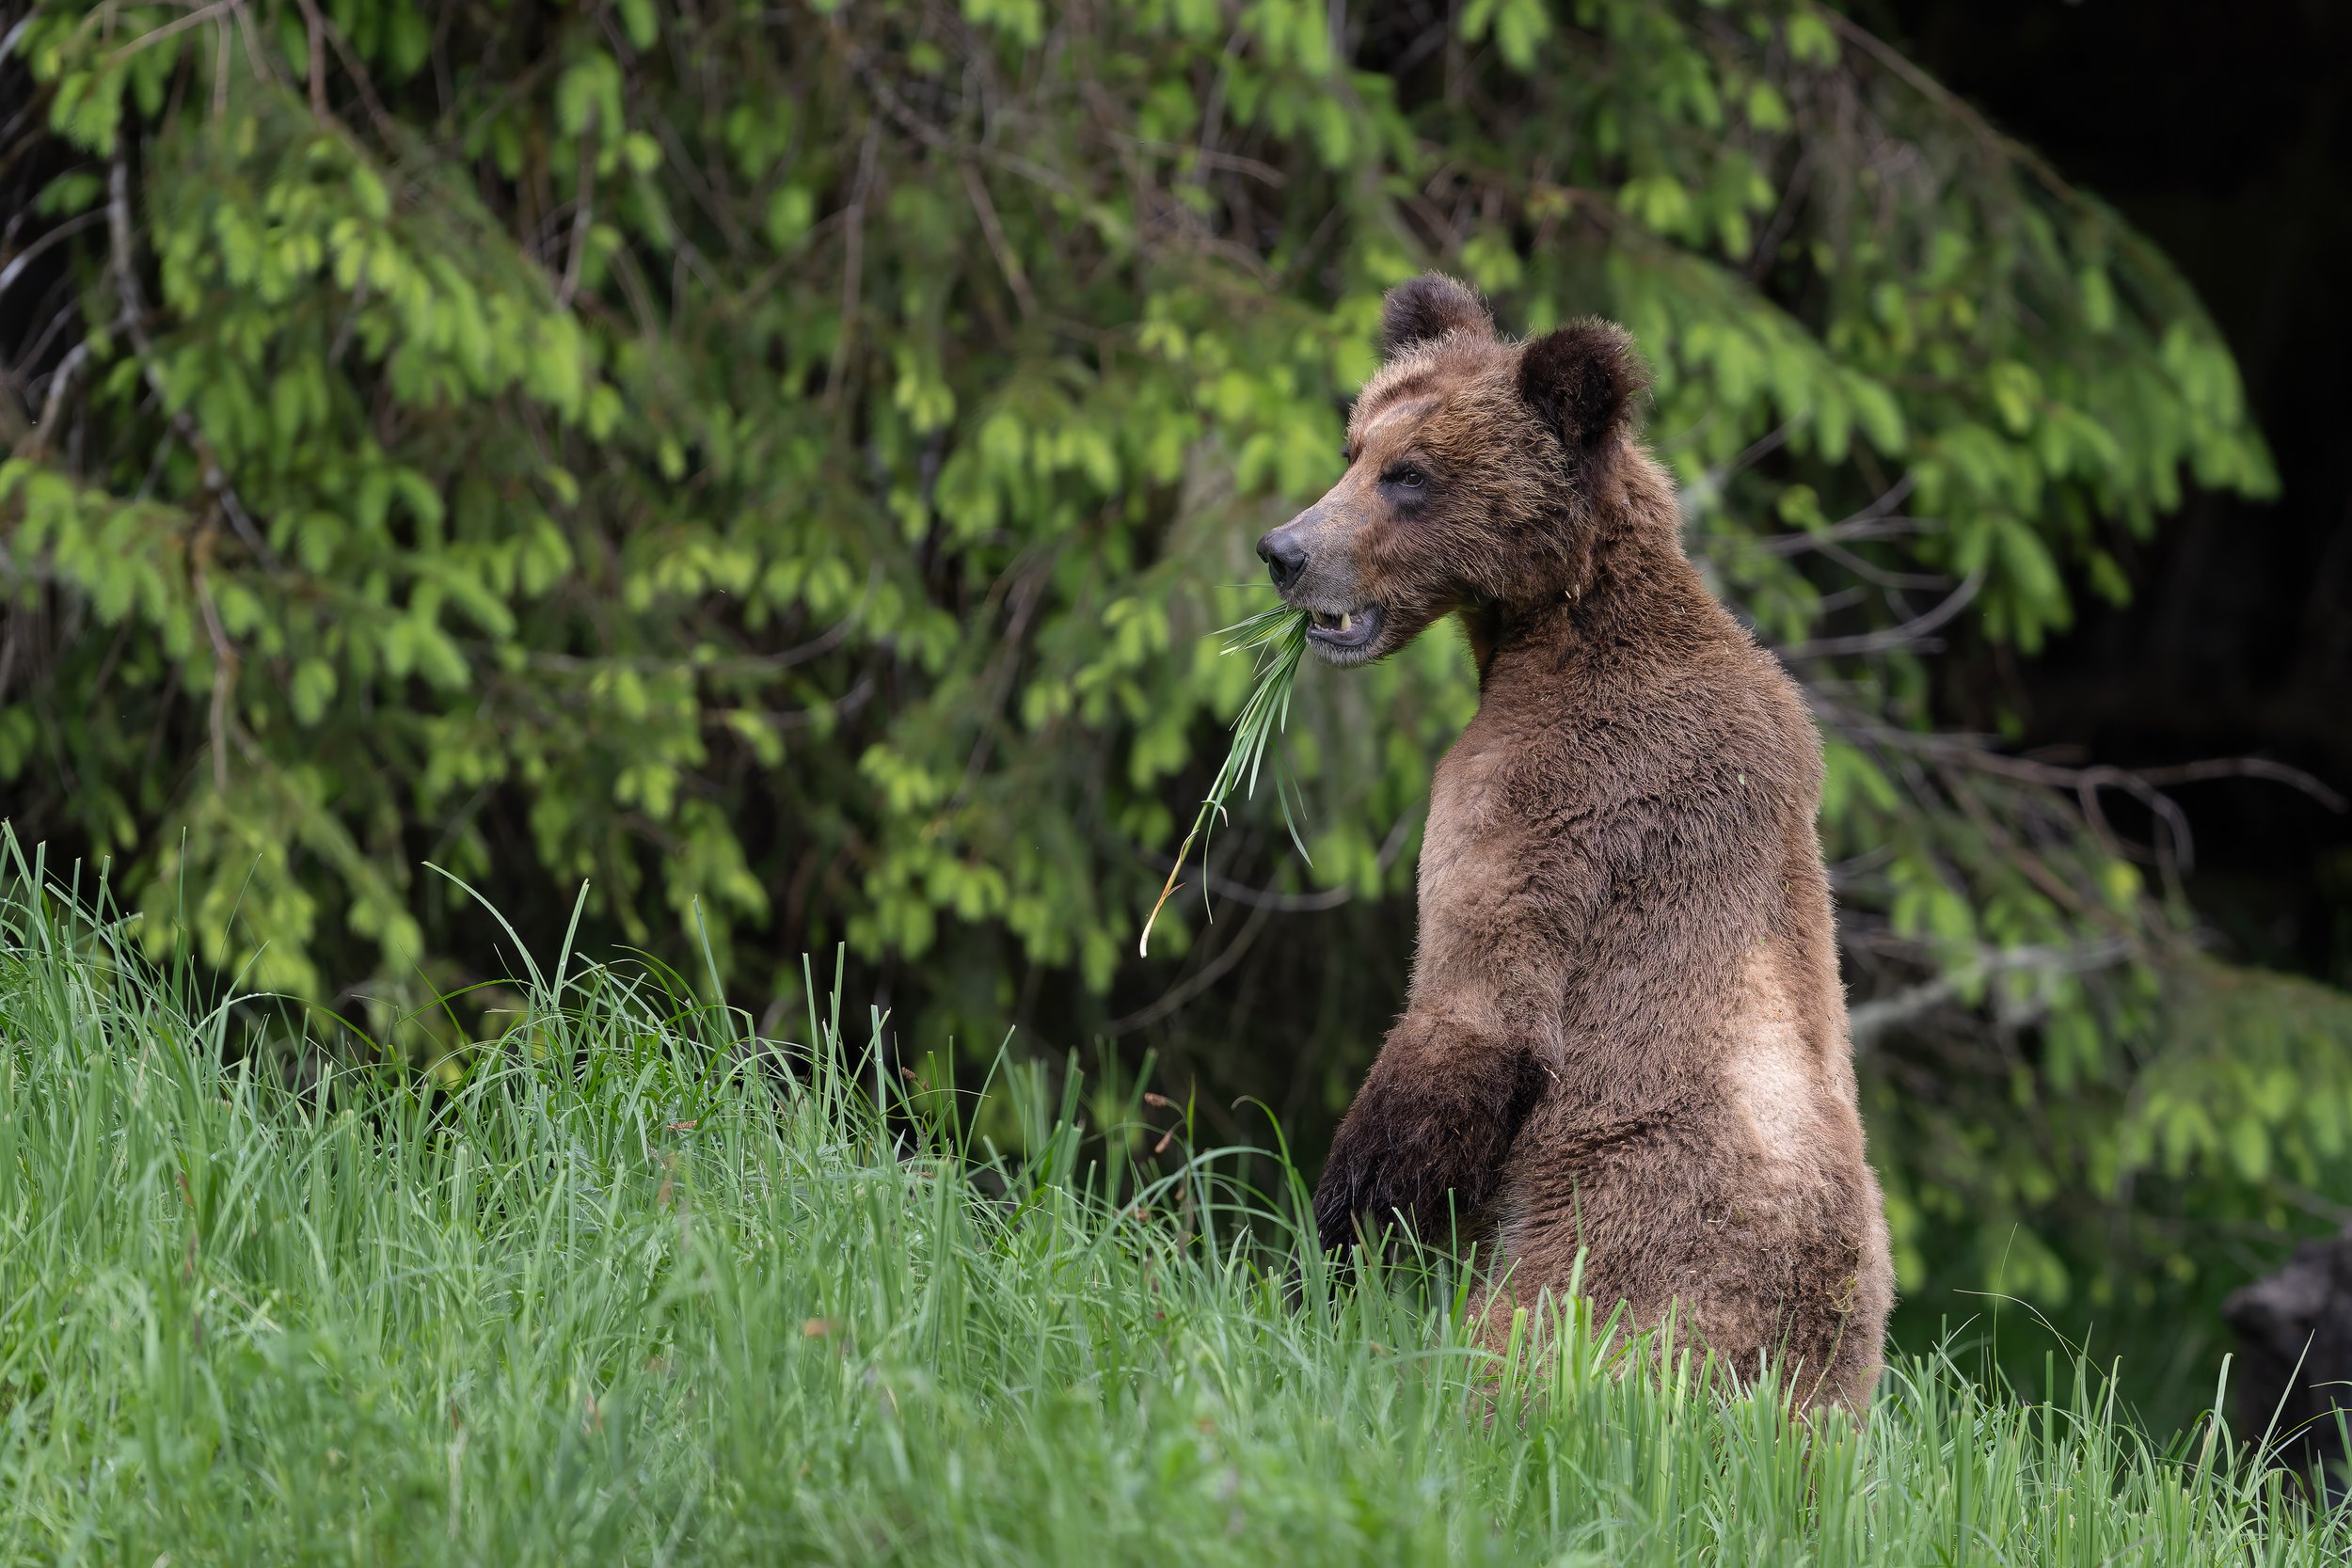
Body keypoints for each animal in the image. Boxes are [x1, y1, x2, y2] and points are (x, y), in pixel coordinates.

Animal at [1259, 273, 1893, 1414]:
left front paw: (1321, 1252)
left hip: (1626, 1238)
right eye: (1354, 445)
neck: (1551, 627)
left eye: (1411, 476)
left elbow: (1472, 1015)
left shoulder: (1550, 799)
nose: (1285, 552)